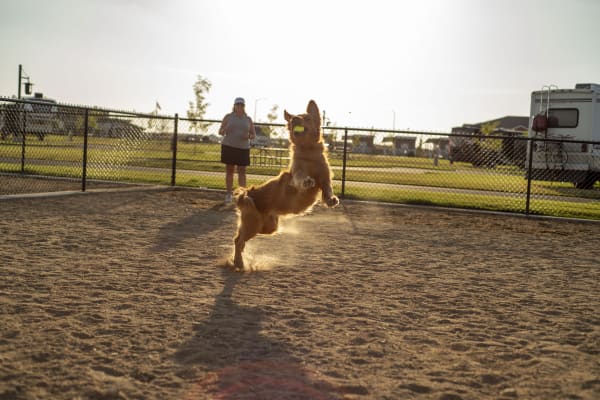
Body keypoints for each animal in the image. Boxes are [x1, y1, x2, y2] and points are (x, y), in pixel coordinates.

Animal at [231, 99, 338, 268]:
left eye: (307, 118)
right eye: (293, 118)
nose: (295, 120)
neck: (309, 154)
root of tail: (245, 193)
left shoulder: (325, 177)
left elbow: (328, 188)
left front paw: (331, 200)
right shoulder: (297, 175)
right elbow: (301, 178)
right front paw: (307, 181)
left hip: (268, 227)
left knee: (241, 240)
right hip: (253, 224)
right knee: (238, 240)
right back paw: (238, 262)